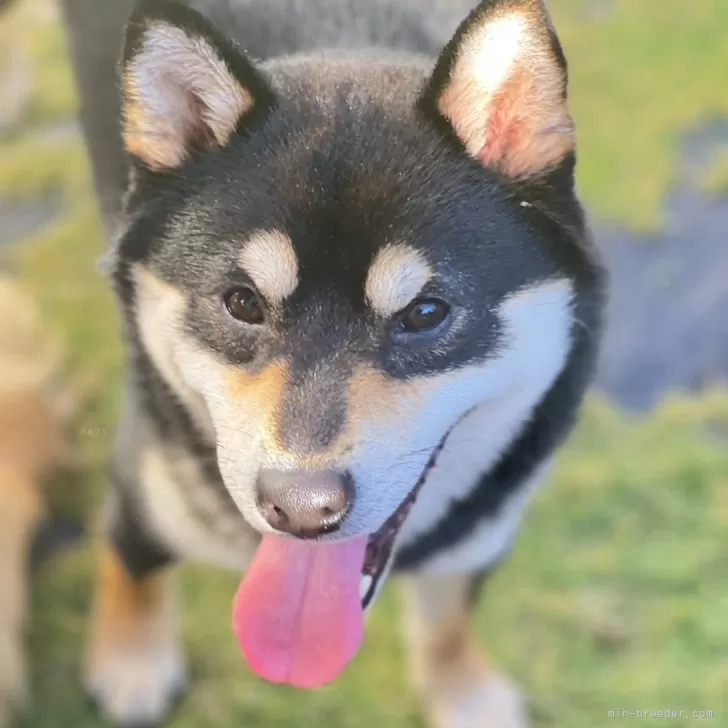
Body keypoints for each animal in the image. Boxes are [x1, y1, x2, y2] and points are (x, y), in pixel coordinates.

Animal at [54, 0, 604, 724]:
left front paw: (463, 691)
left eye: (426, 313)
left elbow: (449, 617)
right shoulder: (145, 472)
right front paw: (131, 659)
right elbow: (131, 558)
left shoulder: (481, 530)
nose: (300, 509)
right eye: (241, 302)